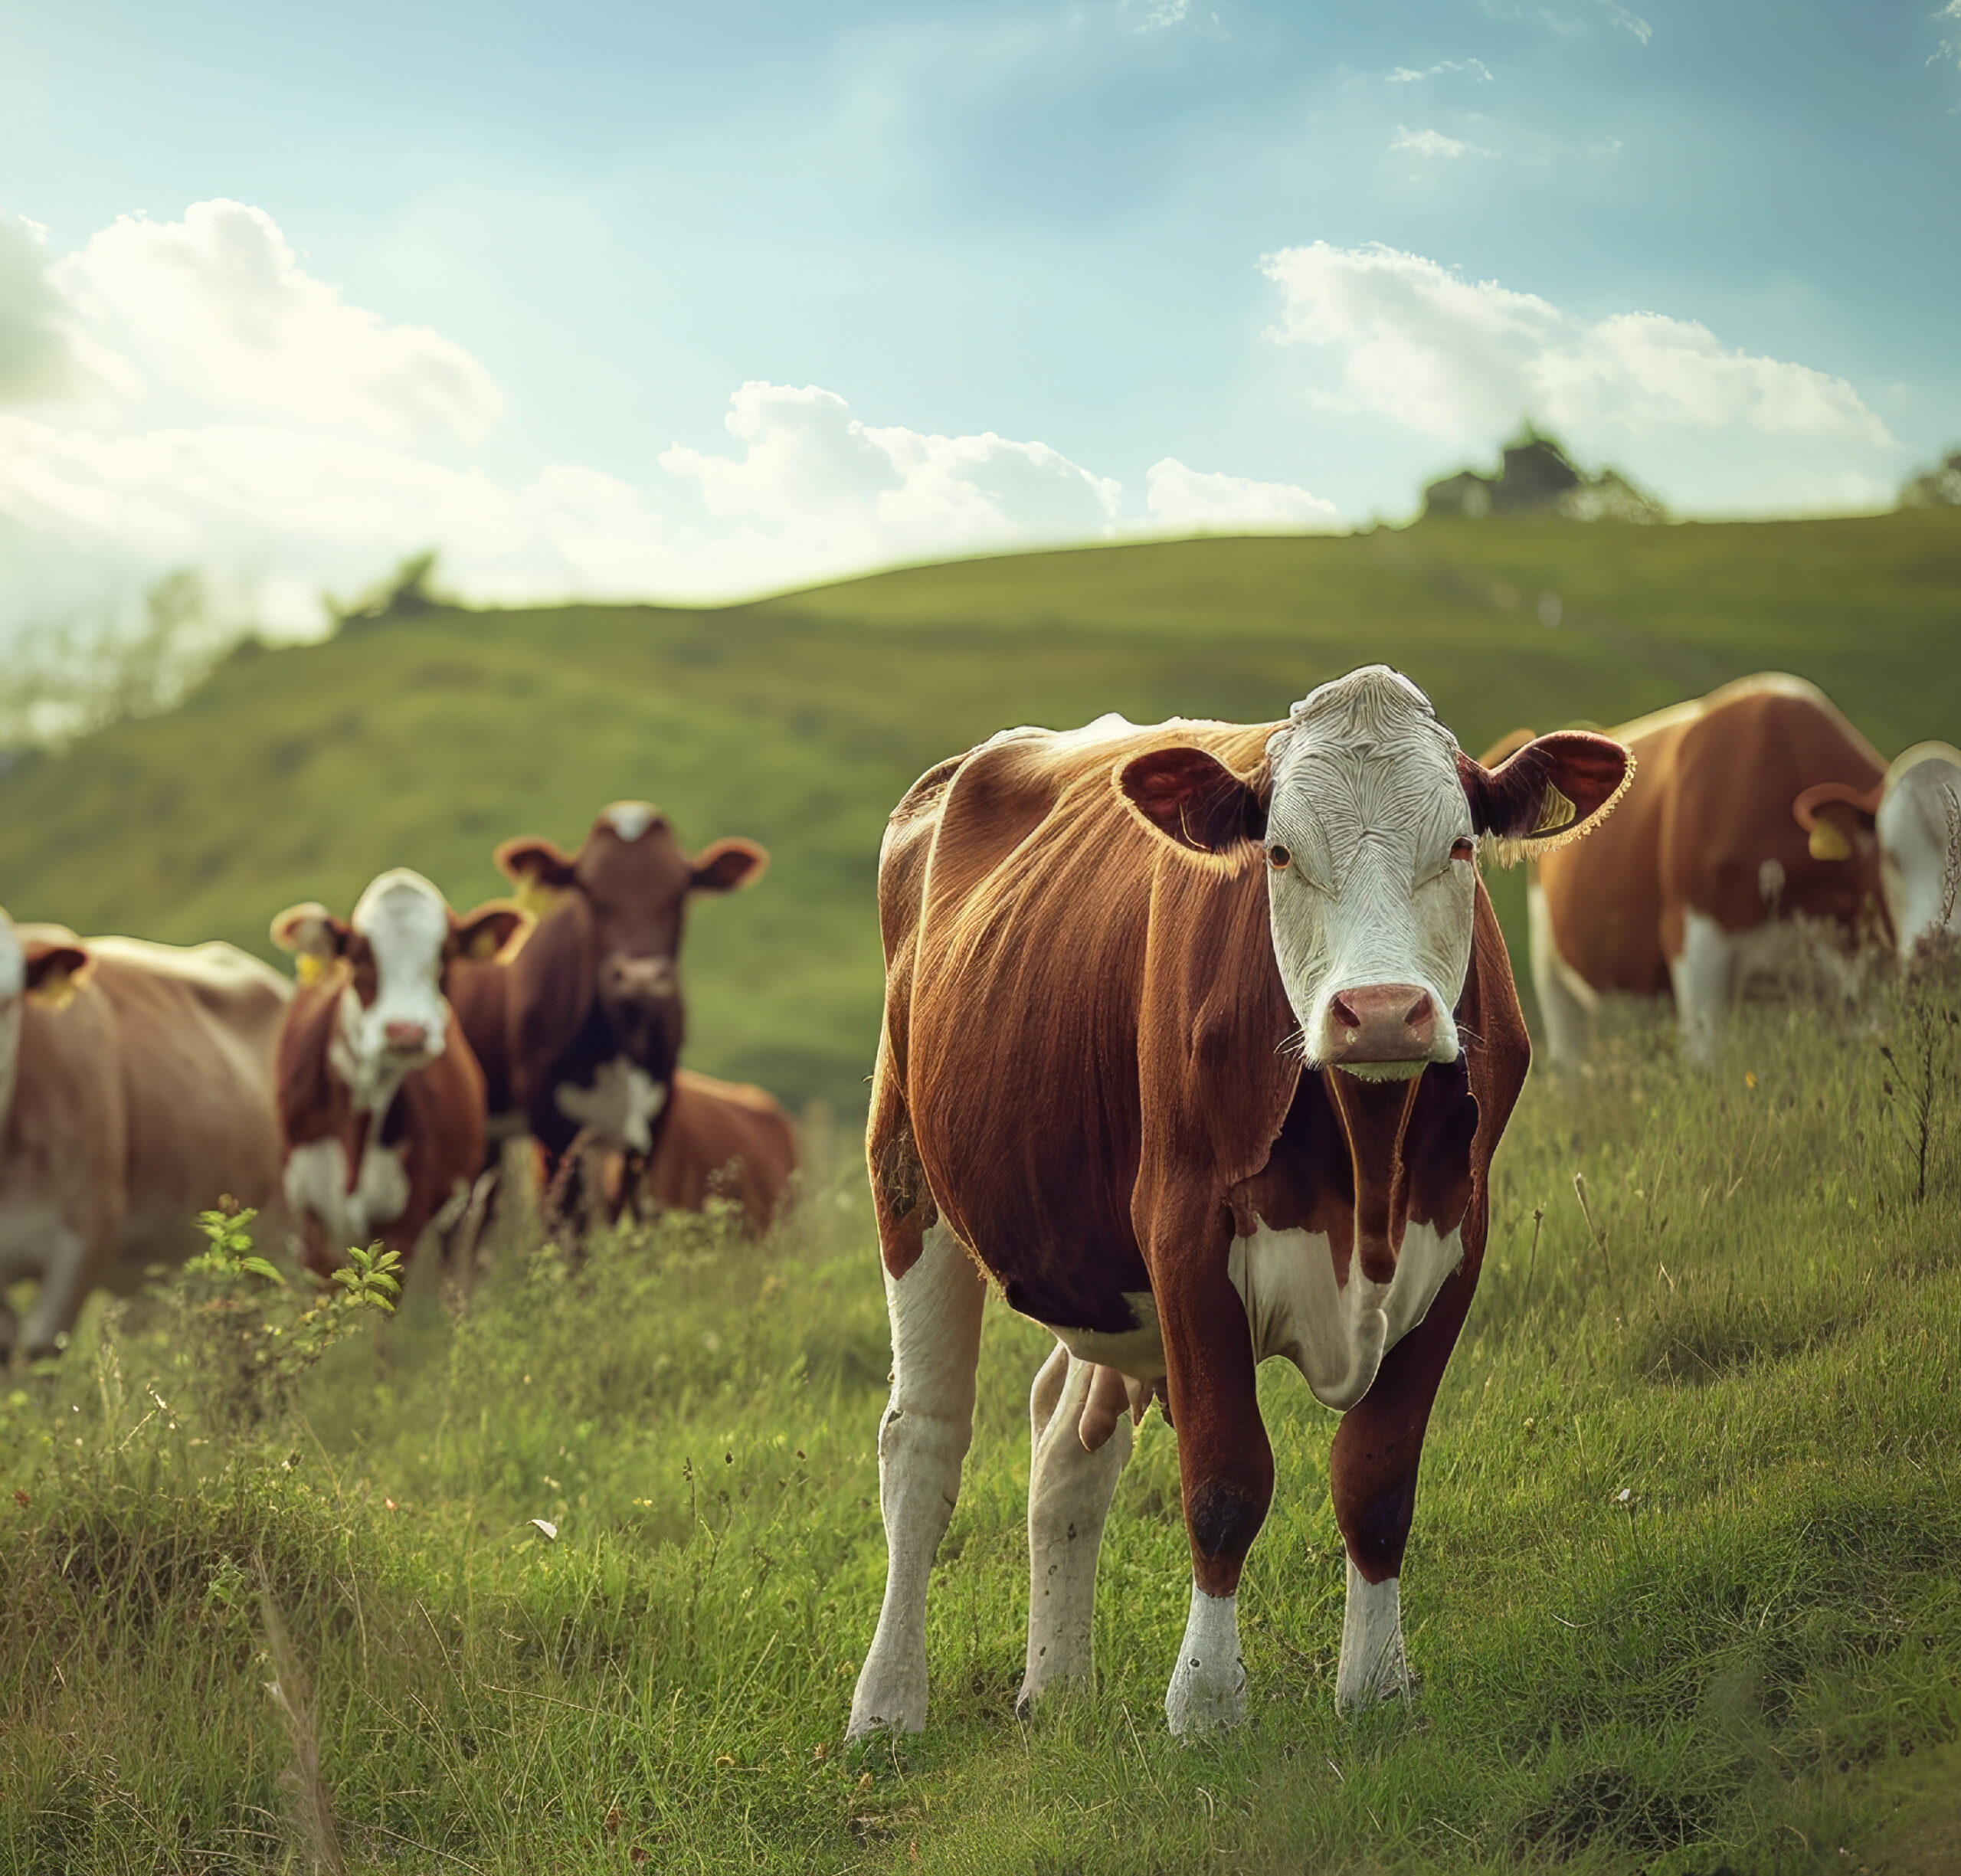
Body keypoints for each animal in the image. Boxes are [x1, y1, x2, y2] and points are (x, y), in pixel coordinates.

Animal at [479, 802, 796, 1228]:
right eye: (590, 892)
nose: (639, 976)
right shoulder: (553, 1128)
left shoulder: (653, 1123)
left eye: (679, 892)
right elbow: (564, 1221)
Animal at [845, 667, 1630, 1738]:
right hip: (908, 1175)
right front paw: (1208, 1704)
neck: (1367, 1165)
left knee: (1067, 1443)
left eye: (1462, 847)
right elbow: (1224, 1478)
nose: (1380, 1012)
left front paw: (1374, 1687)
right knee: (923, 1440)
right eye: (1281, 852)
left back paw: (1057, 1687)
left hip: (1099, 1267)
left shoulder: (1457, 1240)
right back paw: (887, 1704)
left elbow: (1377, 1478)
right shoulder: (1185, 1241)